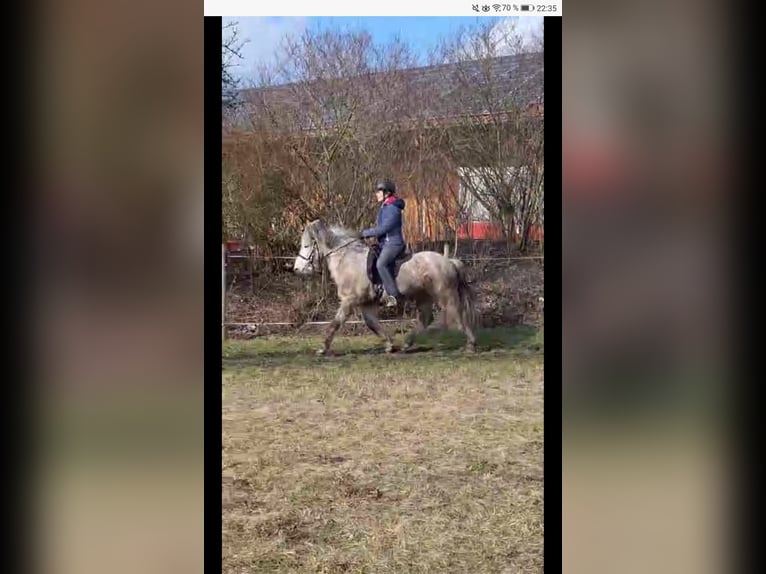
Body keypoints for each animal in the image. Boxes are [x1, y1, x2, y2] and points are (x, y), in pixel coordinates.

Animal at [293, 219, 478, 355]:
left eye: (307, 246)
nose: (297, 269)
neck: (348, 260)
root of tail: (449, 261)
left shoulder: (349, 300)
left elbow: (336, 323)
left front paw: (323, 348)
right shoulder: (365, 303)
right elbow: (372, 324)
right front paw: (390, 345)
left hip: (445, 295)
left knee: (457, 314)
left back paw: (470, 345)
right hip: (423, 297)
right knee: (426, 318)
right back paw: (406, 344)